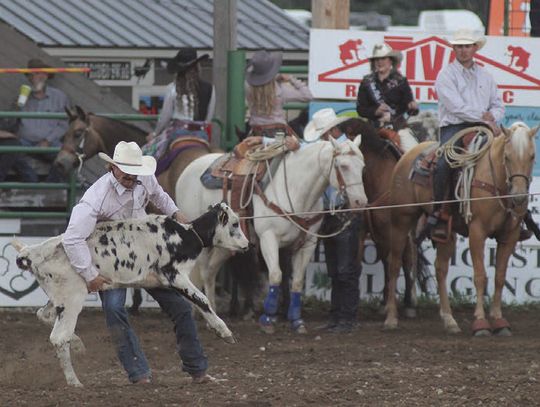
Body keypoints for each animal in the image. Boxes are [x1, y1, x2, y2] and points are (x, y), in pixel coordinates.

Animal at [13, 202, 249, 388]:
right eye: (235, 224)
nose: (247, 245)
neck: (185, 235)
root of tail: (33, 253)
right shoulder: (175, 275)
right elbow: (203, 300)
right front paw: (225, 332)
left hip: (59, 298)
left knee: (44, 315)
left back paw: (78, 344)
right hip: (72, 299)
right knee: (59, 337)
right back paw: (74, 382)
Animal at [175, 135, 370, 334]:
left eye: (363, 167)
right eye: (343, 166)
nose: (360, 202)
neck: (294, 189)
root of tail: (189, 168)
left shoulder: (309, 242)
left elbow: (297, 281)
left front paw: (296, 321)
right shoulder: (268, 238)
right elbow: (276, 275)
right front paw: (268, 319)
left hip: (226, 245)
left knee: (210, 271)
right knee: (204, 271)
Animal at [386, 122, 536, 338]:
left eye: (532, 156)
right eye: (507, 157)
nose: (519, 197)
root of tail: (407, 154)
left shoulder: (510, 236)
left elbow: (500, 277)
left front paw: (499, 320)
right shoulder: (477, 232)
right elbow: (480, 276)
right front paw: (481, 322)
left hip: (447, 233)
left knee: (440, 269)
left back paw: (450, 321)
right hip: (401, 220)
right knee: (395, 263)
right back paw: (391, 318)